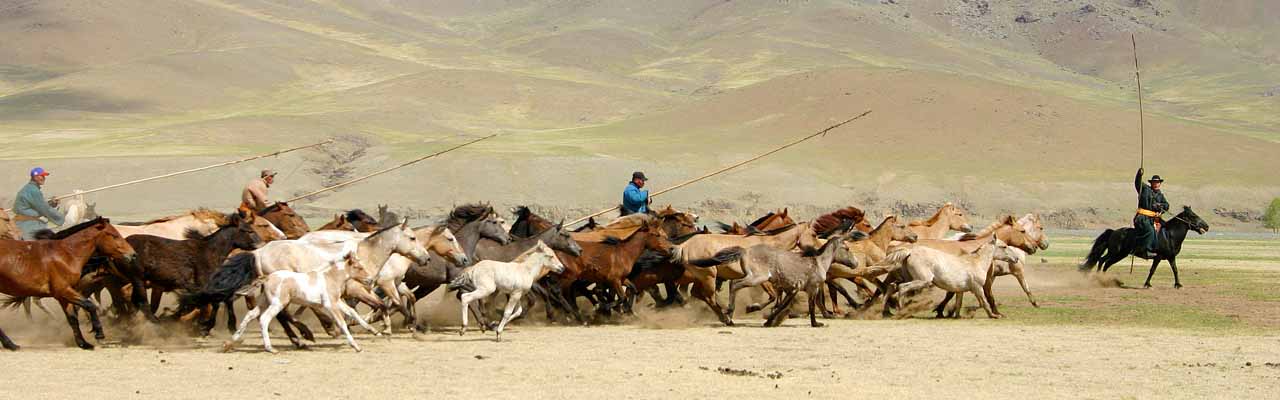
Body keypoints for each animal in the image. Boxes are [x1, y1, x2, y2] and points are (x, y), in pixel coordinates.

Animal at [1080, 206, 1208, 287]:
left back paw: (1104, 280)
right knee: (1102, 260)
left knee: (1106, 263)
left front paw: (1178, 284)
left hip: (1120, 254)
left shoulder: (1171, 257)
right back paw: (1098, 278)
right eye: (1193, 216)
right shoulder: (1158, 256)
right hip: (1114, 252)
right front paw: (1147, 284)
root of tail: (1113, 232)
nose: (1206, 226)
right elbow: (1152, 270)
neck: (1169, 235)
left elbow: (1175, 270)